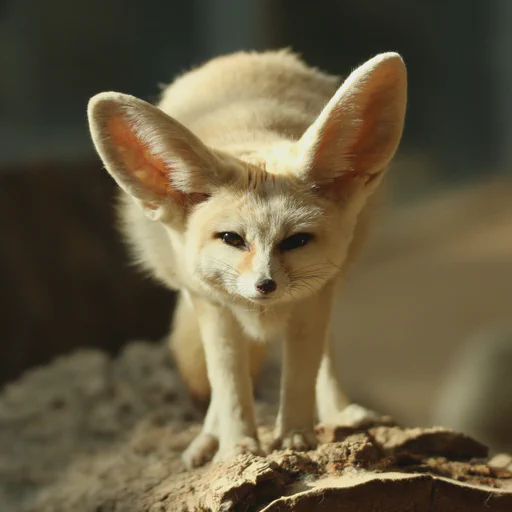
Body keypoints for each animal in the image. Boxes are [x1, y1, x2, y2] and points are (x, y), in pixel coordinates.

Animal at [88, 50, 408, 466]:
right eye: (232, 239)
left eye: (296, 240)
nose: (265, 284)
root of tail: (245, 56)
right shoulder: (213, 306)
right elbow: (229, 385)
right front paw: (237, 446)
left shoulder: (312, 300)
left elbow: (302, 373)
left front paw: (295, 437)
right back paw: (209, 437)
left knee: (327, 353)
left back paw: (340, 411)